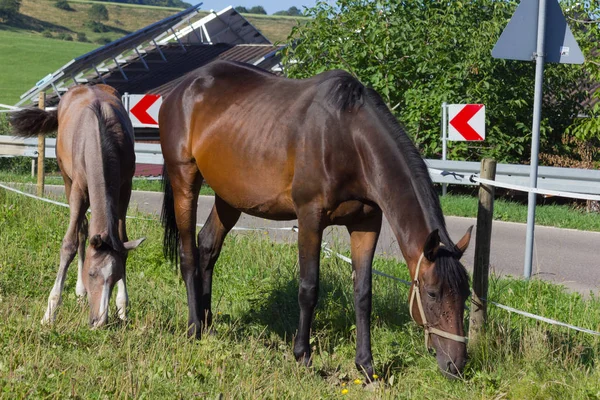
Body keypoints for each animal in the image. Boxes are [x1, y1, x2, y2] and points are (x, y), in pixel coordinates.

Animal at [11, 84, 145, 328]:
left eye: (116, 277)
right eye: (91, 274)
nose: (99, 321)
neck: (99, 137)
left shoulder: (125, 188)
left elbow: (122, 239)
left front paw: (122, 307)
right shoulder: (78, 190)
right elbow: (69, 244)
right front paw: (50, 312)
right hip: (67, 180)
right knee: (82, 229)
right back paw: (78, 292)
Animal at [159, 61, 474, 380]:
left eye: (465, 294)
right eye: (433, 294)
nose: (457, 365)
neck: (349, 140)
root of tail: (181, 89)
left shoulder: (367, 223)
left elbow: (363, 293)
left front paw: (366, 364)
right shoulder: (310, 218)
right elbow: (308, 288)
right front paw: (303, 355)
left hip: (229, 196)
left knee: (208, 246)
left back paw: (207, 323)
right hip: (185, 180)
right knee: (188, 254)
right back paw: (194, 328)